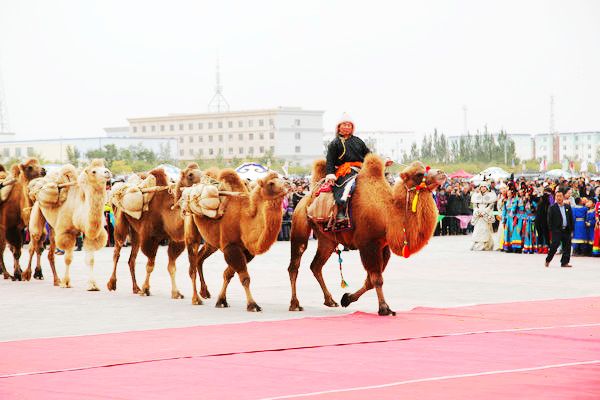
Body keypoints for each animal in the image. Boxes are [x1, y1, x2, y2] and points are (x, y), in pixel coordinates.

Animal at [38, 159, 111, 290]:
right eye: (93, 171)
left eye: (104, 167)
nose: (107, 172)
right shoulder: (67, 232)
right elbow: (68, 259)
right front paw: (66, 283)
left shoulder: (89, 234)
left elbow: (90, 259)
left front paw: (92, 285)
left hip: (52, 228)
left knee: (50, 252)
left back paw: (55, 280)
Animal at [106, 162, 203, 296]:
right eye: (190, 175)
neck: (166, 212)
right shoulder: (150, 237)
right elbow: (150, 265)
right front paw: (146, 288)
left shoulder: (175, 239)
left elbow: (171, 266)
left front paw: (176, 292)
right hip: (120, 221)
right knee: (117, 251)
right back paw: (112, 284)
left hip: (136, 232)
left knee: (132, 258)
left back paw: (135, 288)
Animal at [188, 170, 290, 310]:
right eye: (271, 183)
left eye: (281, 178)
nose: (288, 183)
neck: (244, 220)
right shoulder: (230, 246)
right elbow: (245, 278)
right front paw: (252, 305)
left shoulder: (246, 251)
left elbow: (228, 274)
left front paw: (221, 301)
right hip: (191, 224)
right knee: (192, 263)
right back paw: (195, 299)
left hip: (211, 242)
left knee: (199, 258)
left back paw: (204, 292)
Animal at [286, 155, 446, 316]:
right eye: (418, 174)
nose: (441, 173)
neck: (387, 214)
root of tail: (308, 195)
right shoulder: (368, 244)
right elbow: (377, 279)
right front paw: (384, 308)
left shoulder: (383, 247)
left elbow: (370, 281)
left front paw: (347, 298)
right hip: (299, 226)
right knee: (294, 264)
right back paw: (295, 304)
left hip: (327, 239)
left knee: (316, 266)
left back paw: (330, 300)